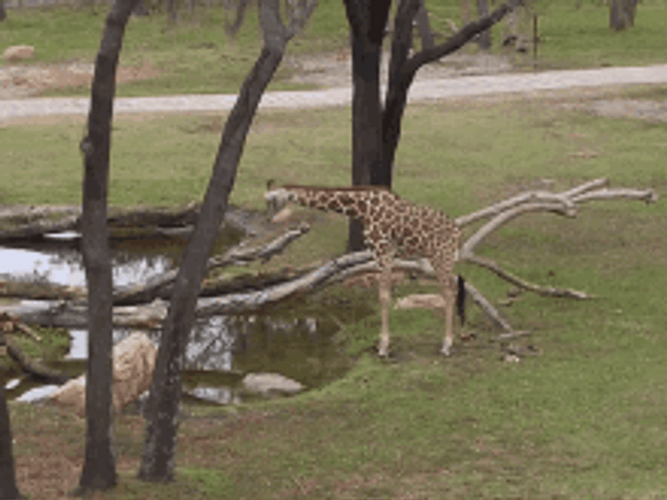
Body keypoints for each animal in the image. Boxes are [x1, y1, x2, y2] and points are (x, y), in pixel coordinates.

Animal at [265, 184, 464, 357]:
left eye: (272, 200)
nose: (269, 220)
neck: (362, 208)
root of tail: (457, 232)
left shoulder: (384, 253)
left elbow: (384, 296)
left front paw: (383, 347)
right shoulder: (380, 255)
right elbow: (383, 294)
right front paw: (383, 344)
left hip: (441, 257)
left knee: (449, 290)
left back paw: (447, 344)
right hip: (442, 259)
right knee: (454, 286)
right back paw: (454, 338)